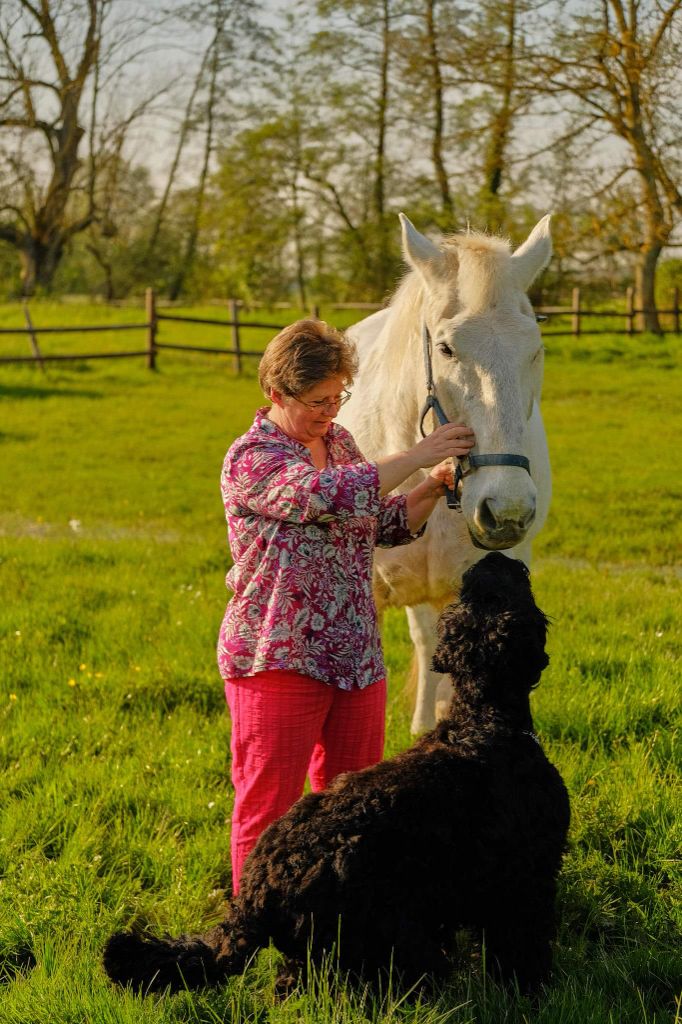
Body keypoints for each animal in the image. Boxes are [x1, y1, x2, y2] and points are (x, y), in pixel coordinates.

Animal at [102, 557, 569, 995]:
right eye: (506, 590)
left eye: (478, 593)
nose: (494, 558)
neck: (482, 723)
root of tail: (251, 899)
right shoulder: (526, 877)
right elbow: (523, 944)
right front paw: (533, 989)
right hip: (393, 940)